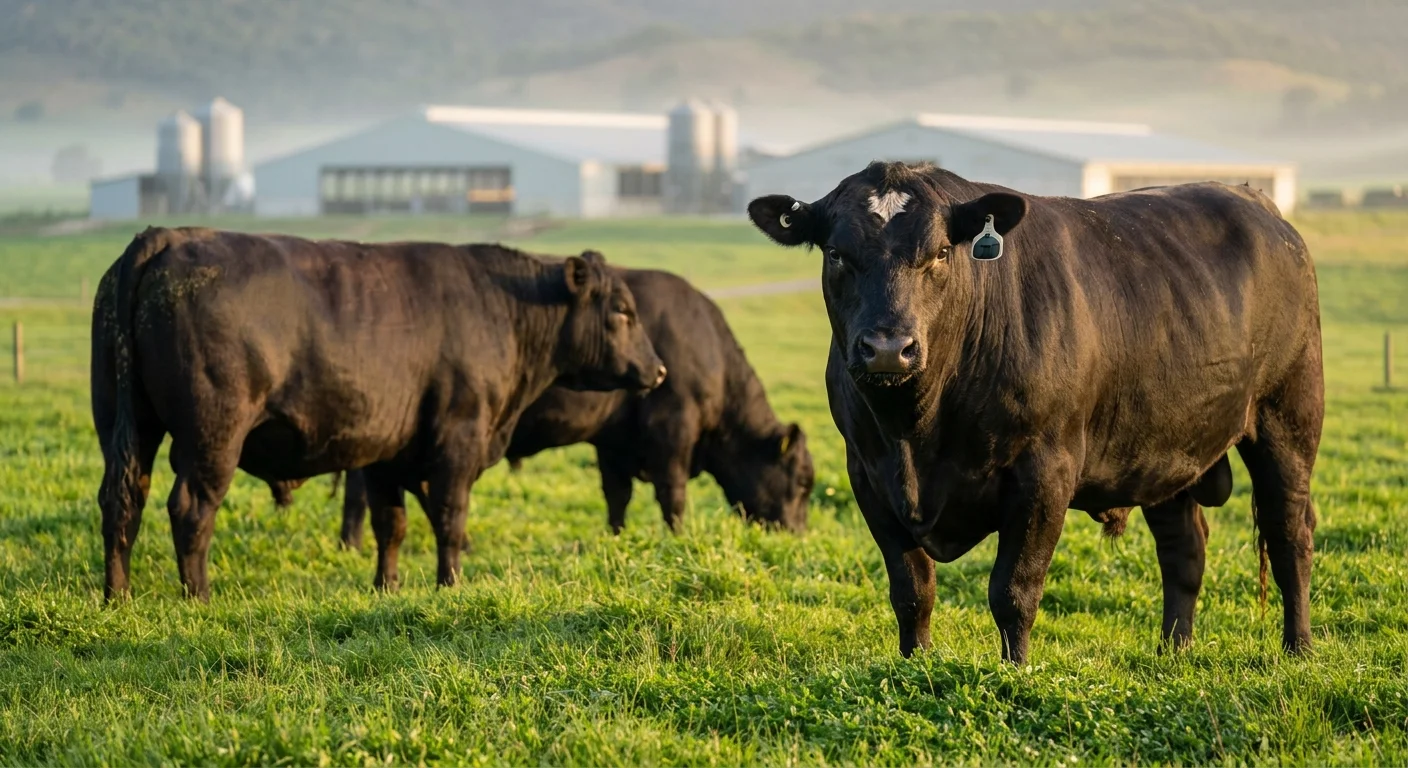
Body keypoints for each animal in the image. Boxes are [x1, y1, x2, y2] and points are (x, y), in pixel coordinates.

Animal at [91, 228, 665, 601]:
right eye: (621, 310)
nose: (658, 370)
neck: (499, 307)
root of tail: (167, 236)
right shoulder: (459, 439)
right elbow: (451, 519)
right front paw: (449, 583)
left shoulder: (386, 452)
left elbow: (393, 524)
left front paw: (386, 586)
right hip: (213, 437)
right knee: (190, 509)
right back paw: (199, 596)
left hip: (126, 426)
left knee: (123, 500)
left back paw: (118, 596)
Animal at [334, 267, 815, 545]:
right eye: (802, 483)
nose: (798, 535)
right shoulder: (674, 430)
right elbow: (673, 496)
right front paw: (677, 540)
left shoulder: (613, 441)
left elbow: (617, 495)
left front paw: (617, 539)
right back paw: (351, 543)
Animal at [748, 162, 1323, 663]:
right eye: (836, 254)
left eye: (940, 253)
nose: (889, 349)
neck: (916, 432)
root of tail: (1258, 202)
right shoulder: (868, 475)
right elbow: (911, 589)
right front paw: (915, 663)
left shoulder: (1045, 471)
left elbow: (1013, 590)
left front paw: (1015, 669)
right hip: (1166, 445)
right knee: (1184, 549)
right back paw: (1172, 652)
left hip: (1288, 419)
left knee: (1289, 533)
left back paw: (1297, 648)